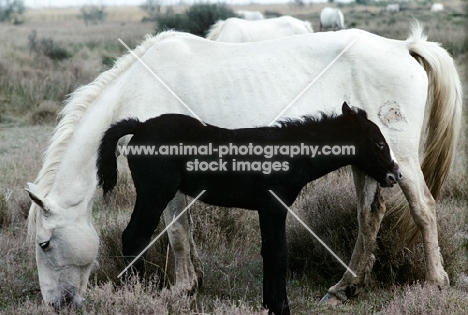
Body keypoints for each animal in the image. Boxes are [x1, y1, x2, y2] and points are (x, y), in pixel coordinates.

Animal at [97, 102, 400, 314]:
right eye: (378, 143)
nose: (394, 175)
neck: (290, 154)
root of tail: (140, 126)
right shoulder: (274, 207)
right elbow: (279, 255)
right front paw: (281, 308)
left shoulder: (266, 210)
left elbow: (268, 253)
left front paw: (269, 305)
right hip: (155, 193)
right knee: (134, 237)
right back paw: (134, 292)